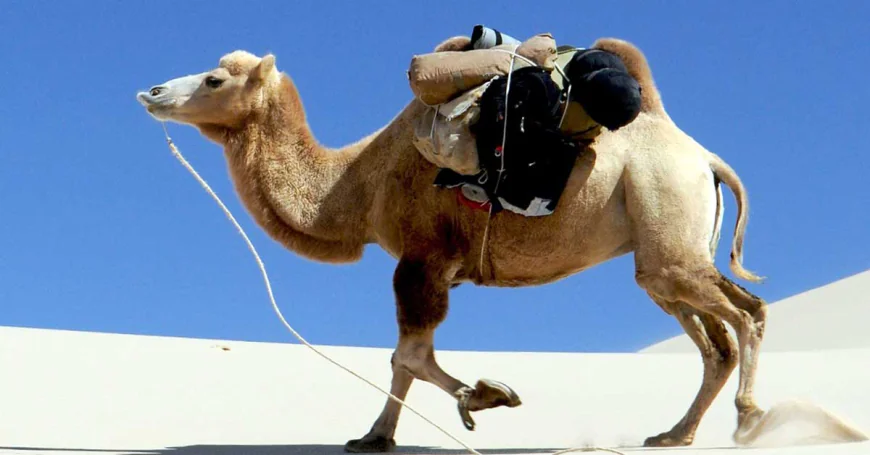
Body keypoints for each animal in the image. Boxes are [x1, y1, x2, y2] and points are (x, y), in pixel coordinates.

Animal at [136, 35, 769, 453]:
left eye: (215, 79)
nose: (153, 90)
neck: (357, 182)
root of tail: (706, 159)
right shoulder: (430, 266)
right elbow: (406, 359)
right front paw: (375, 436)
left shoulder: (422, 258)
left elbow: (410, 356)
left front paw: (486, 397)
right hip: (661, 254)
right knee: (714, 339)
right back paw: (676, 433)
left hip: (668, 220)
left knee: (748, 313)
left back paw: (748, 418)